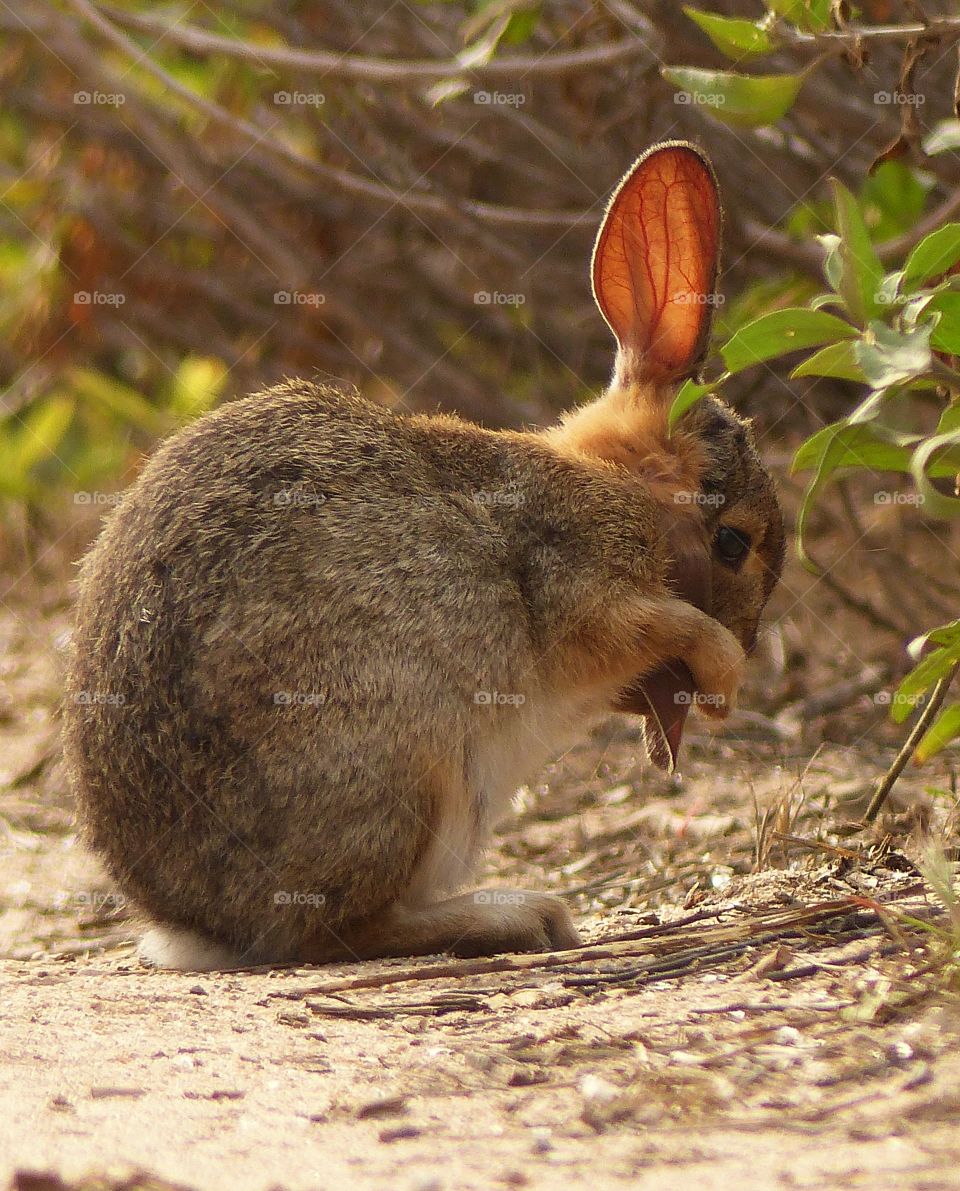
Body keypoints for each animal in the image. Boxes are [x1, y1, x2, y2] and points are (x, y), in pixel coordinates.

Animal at [60, 144, 786, 971]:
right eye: (734, 542)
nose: (753, 644)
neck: (623, 483)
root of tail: (195, 923)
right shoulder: (582, 586)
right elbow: (658, 624)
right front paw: (725, 673)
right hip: (408, 767)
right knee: (341, 929)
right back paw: (518, 917)